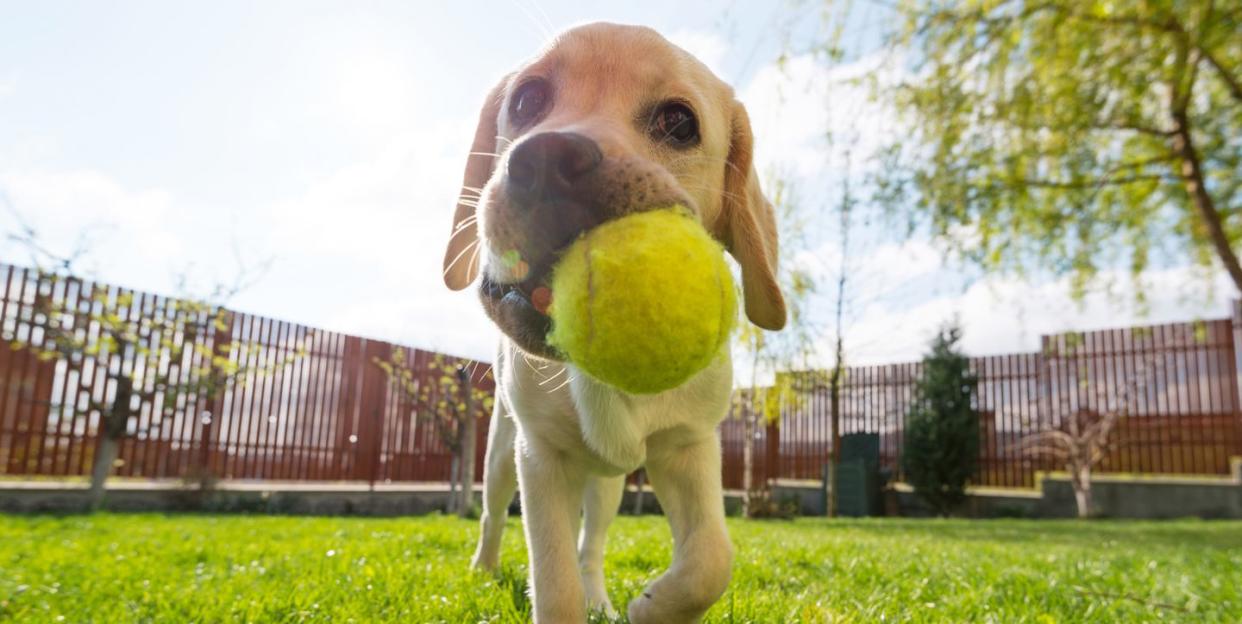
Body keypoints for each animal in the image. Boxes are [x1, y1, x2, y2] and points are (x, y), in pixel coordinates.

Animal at [442, 20, 779, 624]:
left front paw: (650, 606)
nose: (545, 160)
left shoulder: (689, 445)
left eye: (678, 122)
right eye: (526, 100)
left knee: (591, 544)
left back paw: (600, 598)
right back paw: (483, 569)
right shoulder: (540, 458)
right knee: (492, 514)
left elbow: (711, 559)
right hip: (502, 451)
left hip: (609, 484)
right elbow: (554, 584)